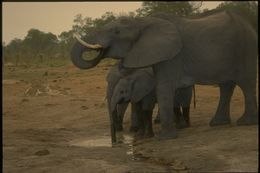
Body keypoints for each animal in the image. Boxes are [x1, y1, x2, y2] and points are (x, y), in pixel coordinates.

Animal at [70, 8, 258, 140]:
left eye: (117, 32)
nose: (114, 142)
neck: (142, 21)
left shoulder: (171, 54)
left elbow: (164, 88)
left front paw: (164, 138)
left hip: (246, 46)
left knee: (246, 83)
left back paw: (246, 122)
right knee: (226, 85)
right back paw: (218, 123)